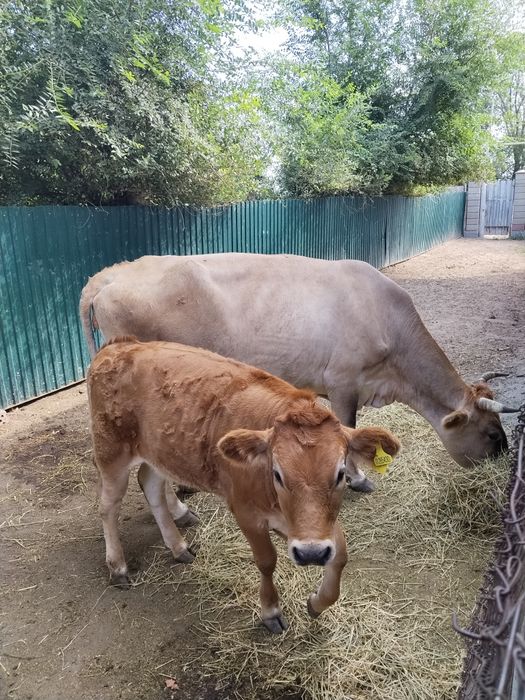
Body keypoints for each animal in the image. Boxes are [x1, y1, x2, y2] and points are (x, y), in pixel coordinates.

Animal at [80, 253, 517, 491]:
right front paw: (357, 479)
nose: (502, 462)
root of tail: (110, 274)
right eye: (493, 434)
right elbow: (348, 430)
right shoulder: (343, 381)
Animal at [87, 338, 400, 632]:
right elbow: (266, 560)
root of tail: (119, 345)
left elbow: (341, 554)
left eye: (340, 473)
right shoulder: (246, 511)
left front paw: (316, 603)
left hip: (158, 453)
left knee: (150, 485)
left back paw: (178, 546)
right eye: (277, 474)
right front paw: (270, 612)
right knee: (108, 507)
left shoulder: (308, 525)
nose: (311, 554)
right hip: (111, 452)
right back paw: (118, 566)